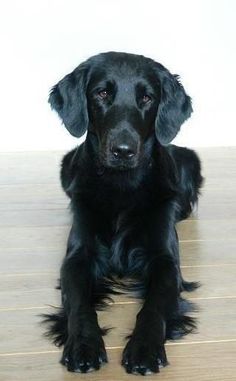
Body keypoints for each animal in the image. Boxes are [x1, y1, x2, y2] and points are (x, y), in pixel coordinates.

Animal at [43, 52, 203, 376]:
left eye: (147, 98)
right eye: (102, 93)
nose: (123, 150)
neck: (122, 186)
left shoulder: (165, 260)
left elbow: (154, 306)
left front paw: (145, 348)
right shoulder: (78, 256)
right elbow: (78, 302)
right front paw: (83, 344)